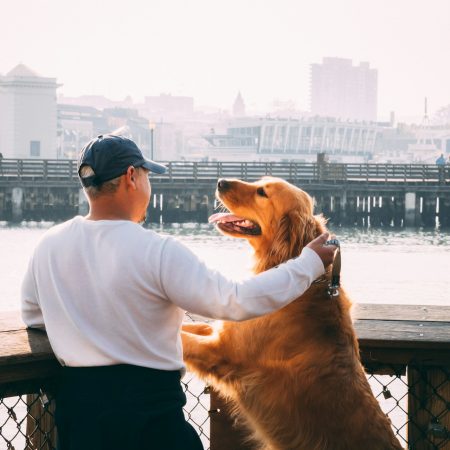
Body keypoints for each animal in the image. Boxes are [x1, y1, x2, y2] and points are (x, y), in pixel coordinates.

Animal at [181, 178, 402, 450]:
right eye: (259, 182)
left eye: (262, 192)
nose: (220, 181)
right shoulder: (221, 332)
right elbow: (188, 328)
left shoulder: (221, 351)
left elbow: (182, 340)